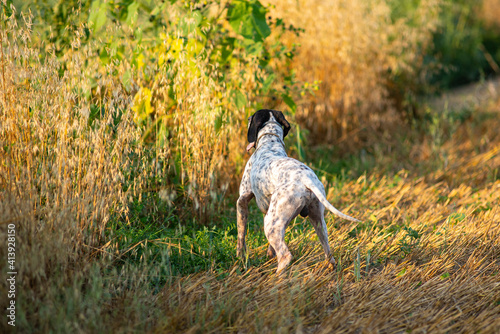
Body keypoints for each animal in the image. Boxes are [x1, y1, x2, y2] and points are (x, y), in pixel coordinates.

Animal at [236, 108, 362, 272]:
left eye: (252, 118)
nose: (248, 118)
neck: (270, 141)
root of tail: (305, 178)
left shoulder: (242, 200)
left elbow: (241, 233)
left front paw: (240, 257)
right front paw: (269, 254)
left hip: (271, 225)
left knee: (285, 256)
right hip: (317, 220)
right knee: (328, 251)